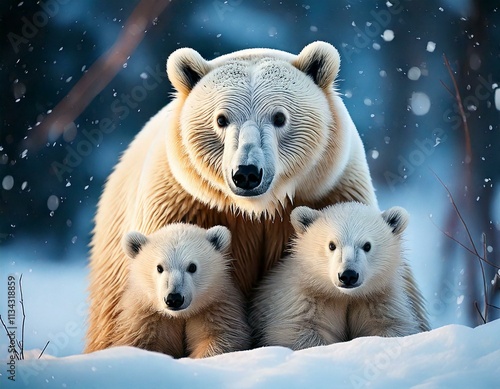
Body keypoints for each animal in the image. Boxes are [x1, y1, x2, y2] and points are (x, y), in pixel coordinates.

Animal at [87, 42, 378, 352]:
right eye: (221, 118)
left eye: (280, 117)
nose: (247, 173)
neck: (255, 209)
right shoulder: (183, 205)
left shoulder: (325, 193)